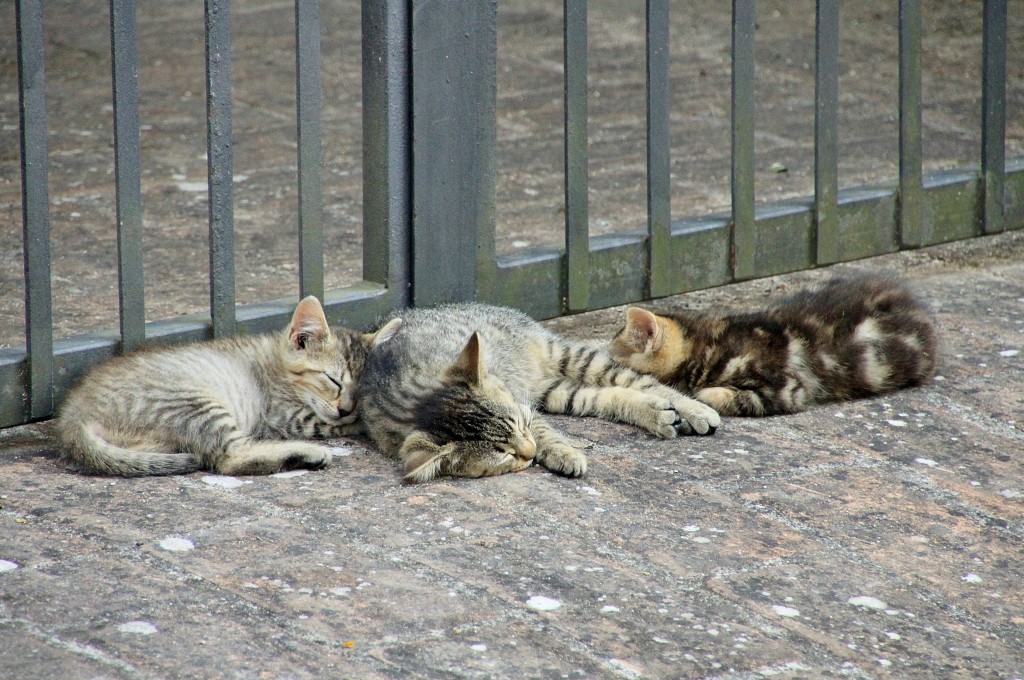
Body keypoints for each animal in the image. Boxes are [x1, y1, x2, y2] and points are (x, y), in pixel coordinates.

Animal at [54, 296, 399, 477]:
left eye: (360, 390)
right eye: (333, 380)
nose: (345, 408)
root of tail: (73, 415)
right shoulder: (284, 415)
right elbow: (340, 423)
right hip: (192, 402)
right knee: (228, 459)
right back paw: (305, 454)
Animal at [358, 303, 720, 483]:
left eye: (518, 426)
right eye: (503, 455)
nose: (529, 453)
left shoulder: (524, 408)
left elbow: (543, 430)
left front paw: (561, 450)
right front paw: (559, 451)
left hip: (568, 356)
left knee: (640, 381)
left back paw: (694, 410)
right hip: (556, 391)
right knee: (607, 396)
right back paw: (659, 413)